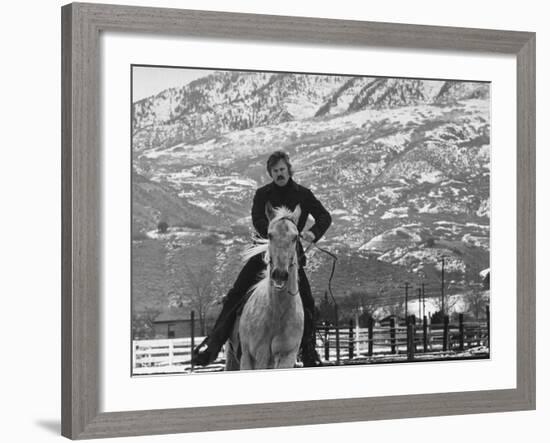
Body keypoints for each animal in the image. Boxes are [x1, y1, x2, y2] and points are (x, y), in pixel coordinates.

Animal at [227, 205, 306, 372]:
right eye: (269, 235)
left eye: (295, 237)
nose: (280, 274)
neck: (276, 314)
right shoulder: (250, 358)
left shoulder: (287, 357)